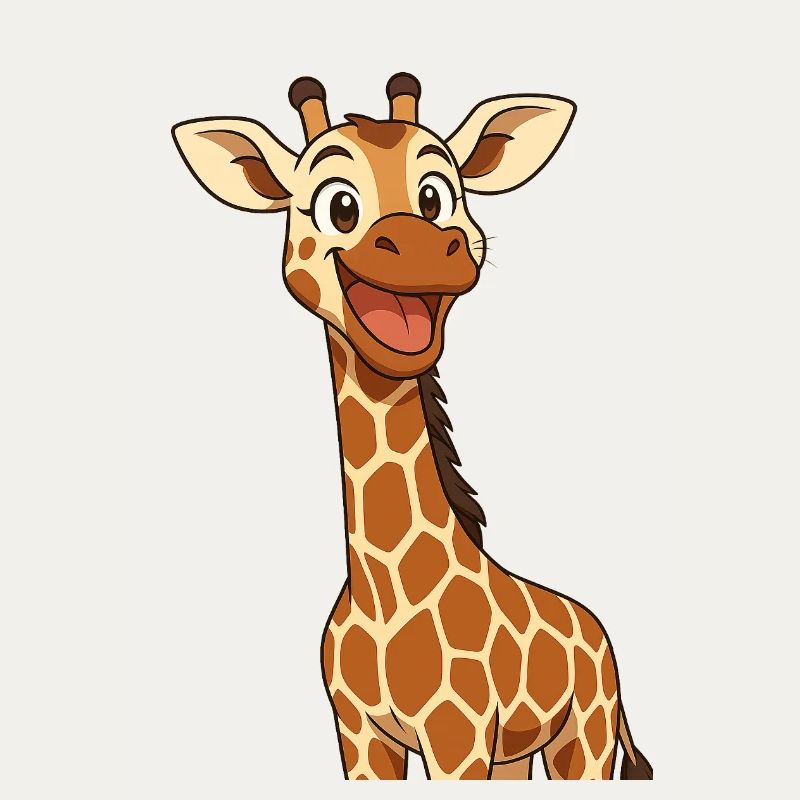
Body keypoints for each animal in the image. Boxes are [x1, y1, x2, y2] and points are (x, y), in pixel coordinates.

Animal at [172, 73, 653, 781]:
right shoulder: (359, 734)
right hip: (519, 752)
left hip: (584, 736)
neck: (381, 596)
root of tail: (599, 629)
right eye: (338, 204)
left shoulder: (458, 735)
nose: (428, 246)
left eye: (436, 196)